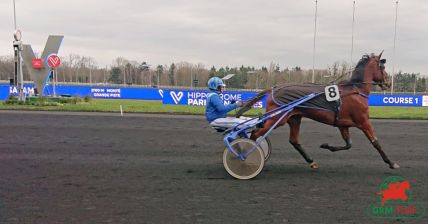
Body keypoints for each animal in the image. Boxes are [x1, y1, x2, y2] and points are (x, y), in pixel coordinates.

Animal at [236, 51, 400, 169]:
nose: (388, 82)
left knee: (293, 140)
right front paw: (391, 163)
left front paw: (327, 146)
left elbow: (348, 144)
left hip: (294, 118)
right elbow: (376, 142)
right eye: (383, 67)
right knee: (256, 133)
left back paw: (311, 161)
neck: (356, 90)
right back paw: (246, 155)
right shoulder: (364, 121)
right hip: (278, 118)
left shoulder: (343, 124)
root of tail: (273, 88)